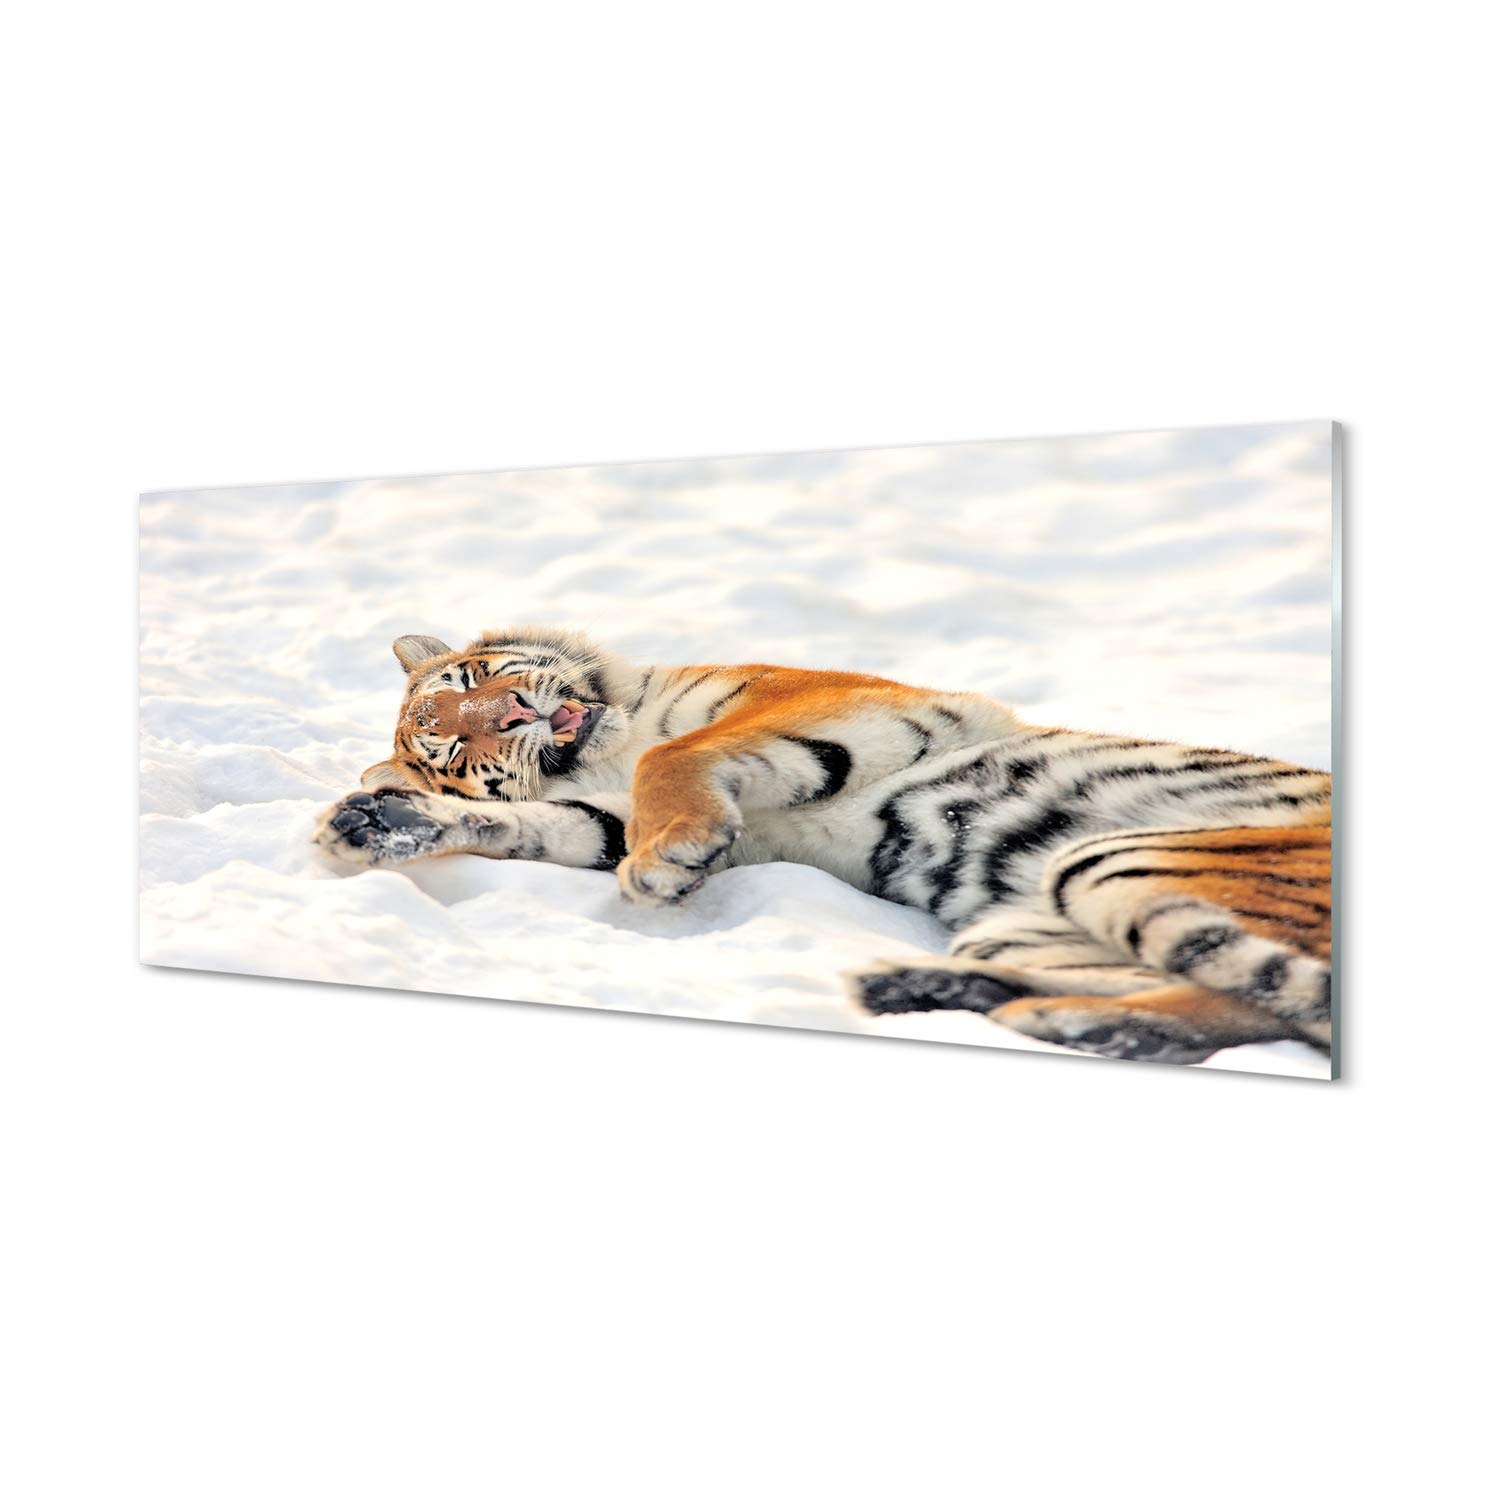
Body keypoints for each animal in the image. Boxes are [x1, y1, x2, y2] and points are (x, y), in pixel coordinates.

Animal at [314, 625, 1334, 1066]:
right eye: (455, 748)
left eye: (473, 683)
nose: (517, 715)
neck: (608, 741)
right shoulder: (607, 817)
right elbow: (542, 824)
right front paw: (377, 821)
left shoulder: (819, 702)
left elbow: (676, 759)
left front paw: (667, 857)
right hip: (1034, 916)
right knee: (1247, 1003)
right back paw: (969, 1001)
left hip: (1122, 863)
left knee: (1273, 1003)